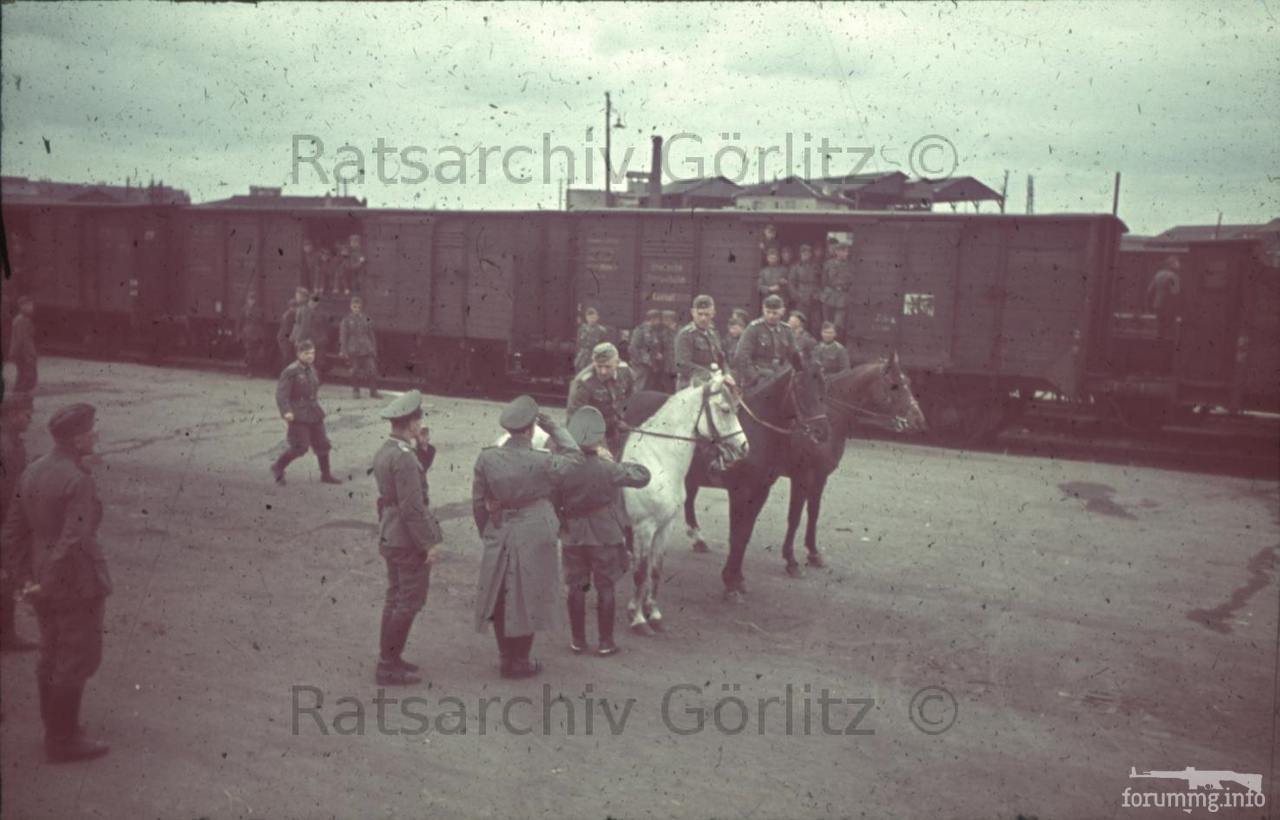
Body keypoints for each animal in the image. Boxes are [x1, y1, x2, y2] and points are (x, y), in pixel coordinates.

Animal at [622, 370, 747, 634]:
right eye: (725, 409)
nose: (744, 447)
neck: (656, 460)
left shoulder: (664, 526)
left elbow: (655, 570)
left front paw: (653, 614)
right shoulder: (644, 527)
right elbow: (641, 572)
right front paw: (638, 619)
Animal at [778, 353, 931, 575]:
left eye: (909, 382)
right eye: (894, 385)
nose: (919, 420)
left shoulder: (820, 477)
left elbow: (813, 513)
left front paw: (813, 554)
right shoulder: (802, 477)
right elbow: (795, 517)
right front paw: (790, 559)